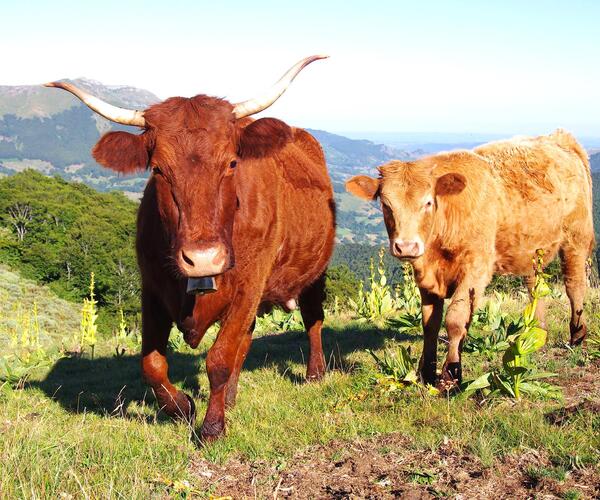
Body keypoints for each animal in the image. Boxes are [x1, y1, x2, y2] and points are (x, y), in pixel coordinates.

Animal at [47, 55, 336, 442]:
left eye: (232, 162)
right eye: (157, 169)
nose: (202, 260)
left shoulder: (249, 285)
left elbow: (220, 358)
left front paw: (212, 427)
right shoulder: (152, 287)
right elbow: (152, 363)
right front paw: (183, 407)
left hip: (315, 271)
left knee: (312, 318)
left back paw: (314, 373)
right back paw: (231, 397)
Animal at [344, 130, 592, 386]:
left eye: (428, 202)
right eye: (386, 205)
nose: (406, 246)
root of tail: (558, 138)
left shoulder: (475, 269)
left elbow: (455, 319)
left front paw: (451, 376)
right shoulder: (426, 277)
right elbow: (430, 323)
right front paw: (426, 373)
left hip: (576, 236)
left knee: (574, 285)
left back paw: (577, 335)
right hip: (533, 249)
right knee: (535, 288)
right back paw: (536, 334)